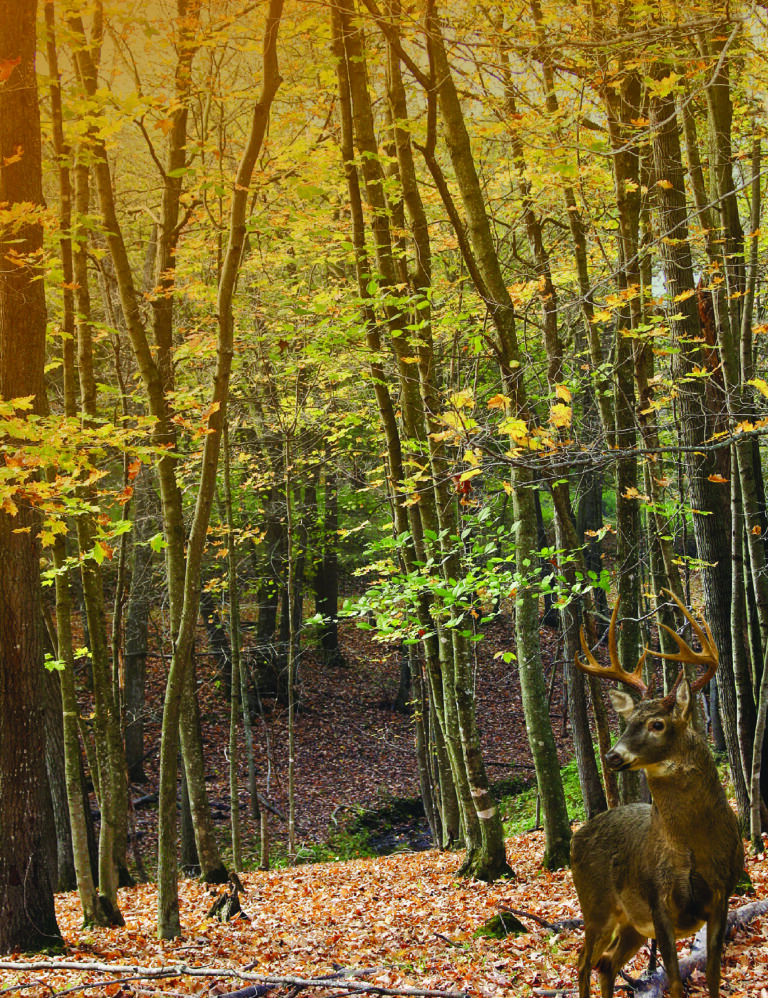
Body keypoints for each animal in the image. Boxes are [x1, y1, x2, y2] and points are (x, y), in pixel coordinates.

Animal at [570, 590, 744, 998]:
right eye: (627, 722)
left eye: (657, 724)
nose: (612, 756)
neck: (695, 844)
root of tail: (576, 836)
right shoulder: (658, 900)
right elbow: (676, 981)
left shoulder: (722, 895)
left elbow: (713, 975)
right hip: (596, 905)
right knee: (583, 962)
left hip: (630, 923)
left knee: (604, 963)